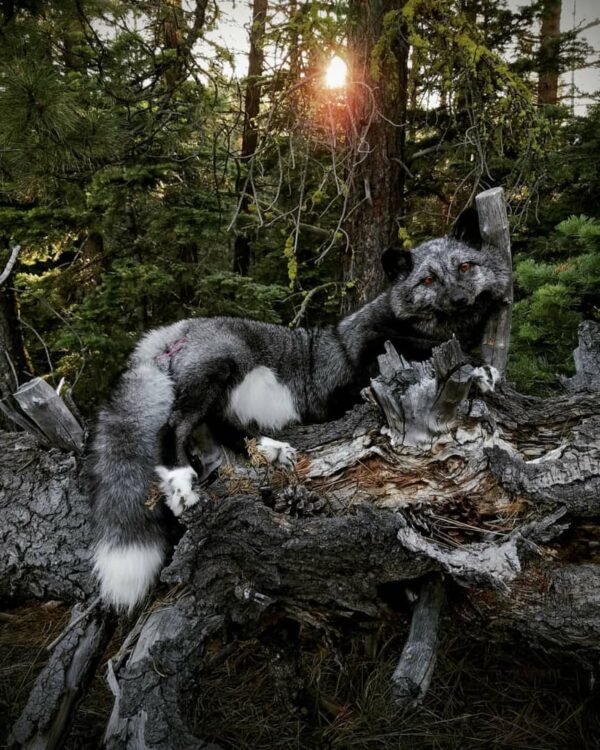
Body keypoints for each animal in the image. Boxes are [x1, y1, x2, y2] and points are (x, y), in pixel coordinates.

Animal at [89, 235, 510, 612]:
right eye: (428, 279)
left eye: (465, 267)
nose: (459, 300)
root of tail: (165, 333)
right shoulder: (358, 376)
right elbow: (442, 357)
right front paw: (480, 370)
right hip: (219, 370)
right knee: (173, 427)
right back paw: (181, 487)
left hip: (223, 398)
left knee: (226, 433)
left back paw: (272, 451)